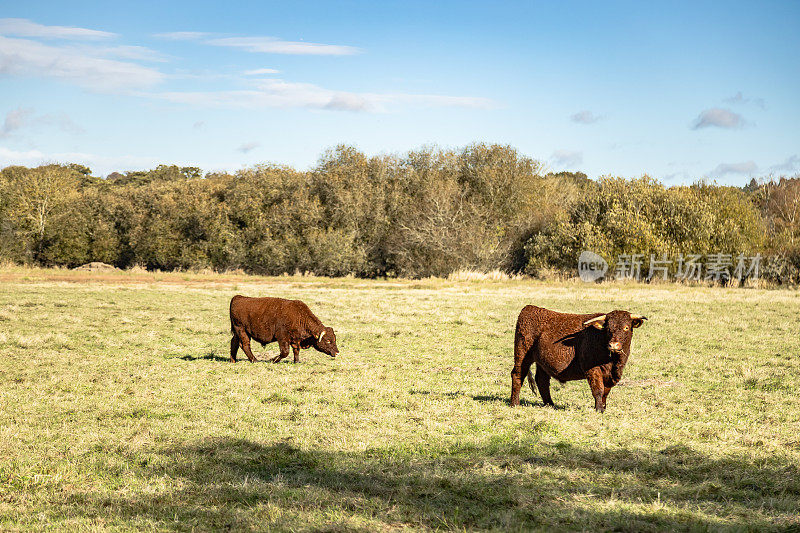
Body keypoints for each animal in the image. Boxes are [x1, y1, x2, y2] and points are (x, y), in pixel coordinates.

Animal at [512, 304, 644, 412]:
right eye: (608, 328)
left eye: (626, 327)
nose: (613, 345)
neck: (613, 361)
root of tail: (529, 308)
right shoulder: (592, 369)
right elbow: (598, 390)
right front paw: (599, 409)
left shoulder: (612, 374)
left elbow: (605, 392)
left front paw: (604, 407)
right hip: (522, 355)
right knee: (517, 375)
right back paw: (515, 404)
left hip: (542, 362)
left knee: (542, 380)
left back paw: (550, 404)